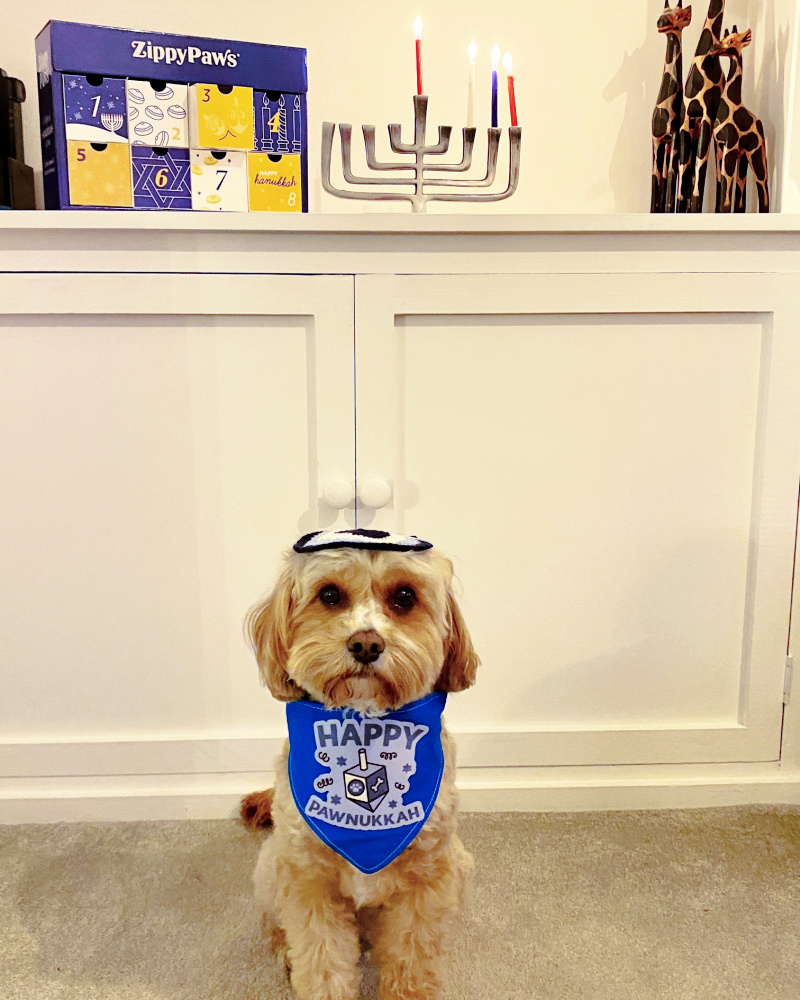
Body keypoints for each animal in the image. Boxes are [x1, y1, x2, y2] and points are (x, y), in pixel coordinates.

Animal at [241, 528, 478, 996]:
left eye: (404, 597)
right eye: (330, 595)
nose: (366, 644)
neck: (364, 725)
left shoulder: (427, 879)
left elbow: (412, 960)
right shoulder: (307, 879)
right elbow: (322, 962)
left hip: (459, 864)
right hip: (270, 867)